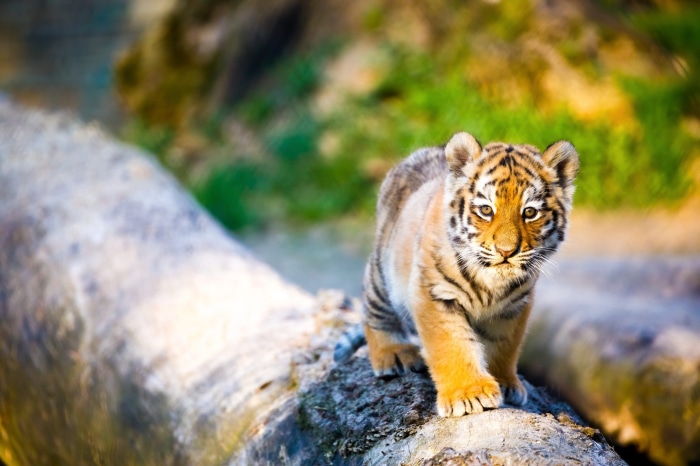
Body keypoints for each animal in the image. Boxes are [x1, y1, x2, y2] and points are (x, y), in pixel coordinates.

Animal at [335, 131, 579, 417]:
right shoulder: (435, 296)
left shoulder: (514, 307)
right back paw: (394, 353)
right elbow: (452, 345)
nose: (506, 251)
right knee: (375, 312)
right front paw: (469, 394)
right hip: (382, 275)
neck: (492, 283)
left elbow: (504, 346)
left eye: (529, 212)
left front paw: (505, 383)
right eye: (486, 210)